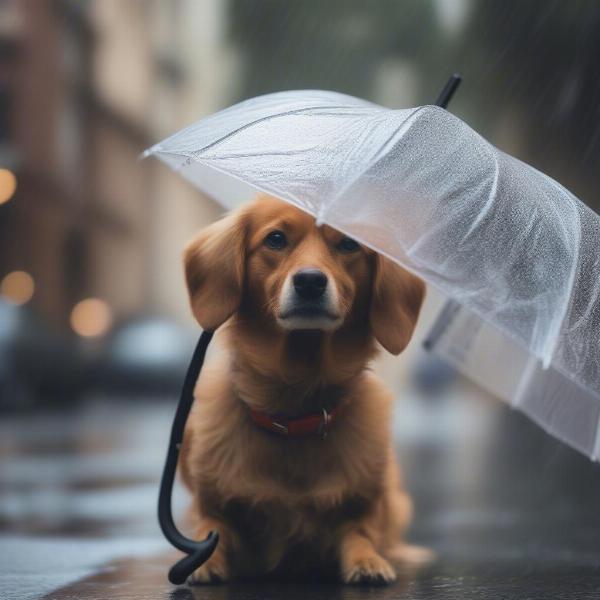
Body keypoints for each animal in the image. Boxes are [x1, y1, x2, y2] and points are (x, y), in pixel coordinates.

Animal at [178, 195, 426, 584]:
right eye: (276, 239)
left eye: (349, 243)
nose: (310, 282)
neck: (294, 413)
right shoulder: (211, 503)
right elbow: (210, 527)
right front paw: (206, 562)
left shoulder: (368, 504)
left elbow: (361, 530)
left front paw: (367, 560)